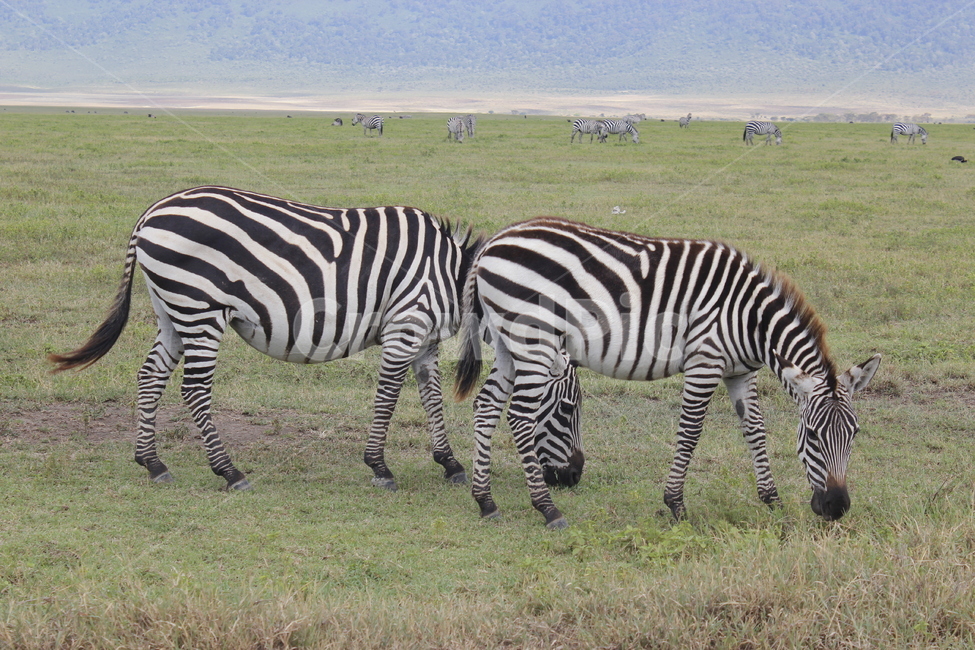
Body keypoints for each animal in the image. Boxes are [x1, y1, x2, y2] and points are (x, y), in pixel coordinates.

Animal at [46, 186, 595, 496]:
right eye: (570, 408)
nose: (575, 476)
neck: (456, 278)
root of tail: (152, 212)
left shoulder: (422, 340)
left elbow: (431, 396)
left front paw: (449, 463)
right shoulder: (405, 327)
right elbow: (389, 397)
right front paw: (380, 467)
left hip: (172, 311)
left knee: (151, 375)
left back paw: (153, 462)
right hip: (200, 310)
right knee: (194, 390)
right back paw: (229, 471)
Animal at [455, 217, 881, 529]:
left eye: (855, 434)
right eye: (812, 435)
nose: (836, 507)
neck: (750, 321)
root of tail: (493, 243)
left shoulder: (741, 372)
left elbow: (755, 431)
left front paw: (771, 499)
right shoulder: (705, 363)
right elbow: (690, 433)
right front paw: (675, 505)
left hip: (510, 344)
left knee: (487, 406)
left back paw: (485, 500)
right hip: (534, 340)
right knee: (519, 417)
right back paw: (546, 508)